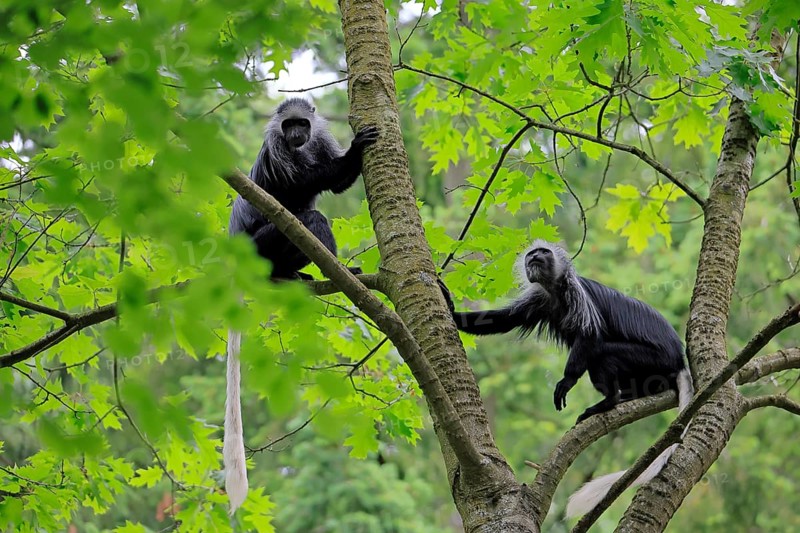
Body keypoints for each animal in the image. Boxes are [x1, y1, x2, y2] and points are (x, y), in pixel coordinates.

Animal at [224, 98, 378, 514]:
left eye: (303, 125)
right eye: (288, 125)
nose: (295, 134)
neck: (297, 148)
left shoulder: (319, 141)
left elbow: (333, 181)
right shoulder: (276, 152)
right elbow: (300, 185)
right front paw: (356, 149)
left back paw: (297, 275)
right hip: (263, 245)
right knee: (309, 219)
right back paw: (336, 272)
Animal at [439, 239, 693, 517]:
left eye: (544, 252)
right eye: (532, 253)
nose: (535, 256)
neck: (555, 290)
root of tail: (678, 360)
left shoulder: (577, 295)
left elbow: (589, 335)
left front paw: (566, 383)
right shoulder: (538, 299)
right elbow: (503, 320)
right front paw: (451, 309)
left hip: (650, 358)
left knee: (601, 354)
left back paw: (609, 401)